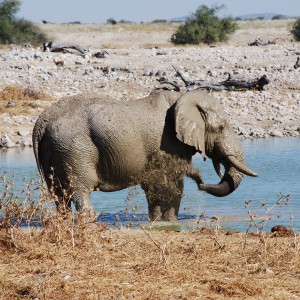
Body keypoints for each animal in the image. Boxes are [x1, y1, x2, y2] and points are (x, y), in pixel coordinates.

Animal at [33, 89, 258, 220]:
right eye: (221, 127)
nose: (201, 182)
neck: (182, 98)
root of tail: (42, 122)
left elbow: (156, 186)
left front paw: (159, 222)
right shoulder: (167, 145)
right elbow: (171, 184)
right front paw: (168, 222)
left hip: (56, 151)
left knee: (59, 194)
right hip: (75, 148)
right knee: (80, 188)